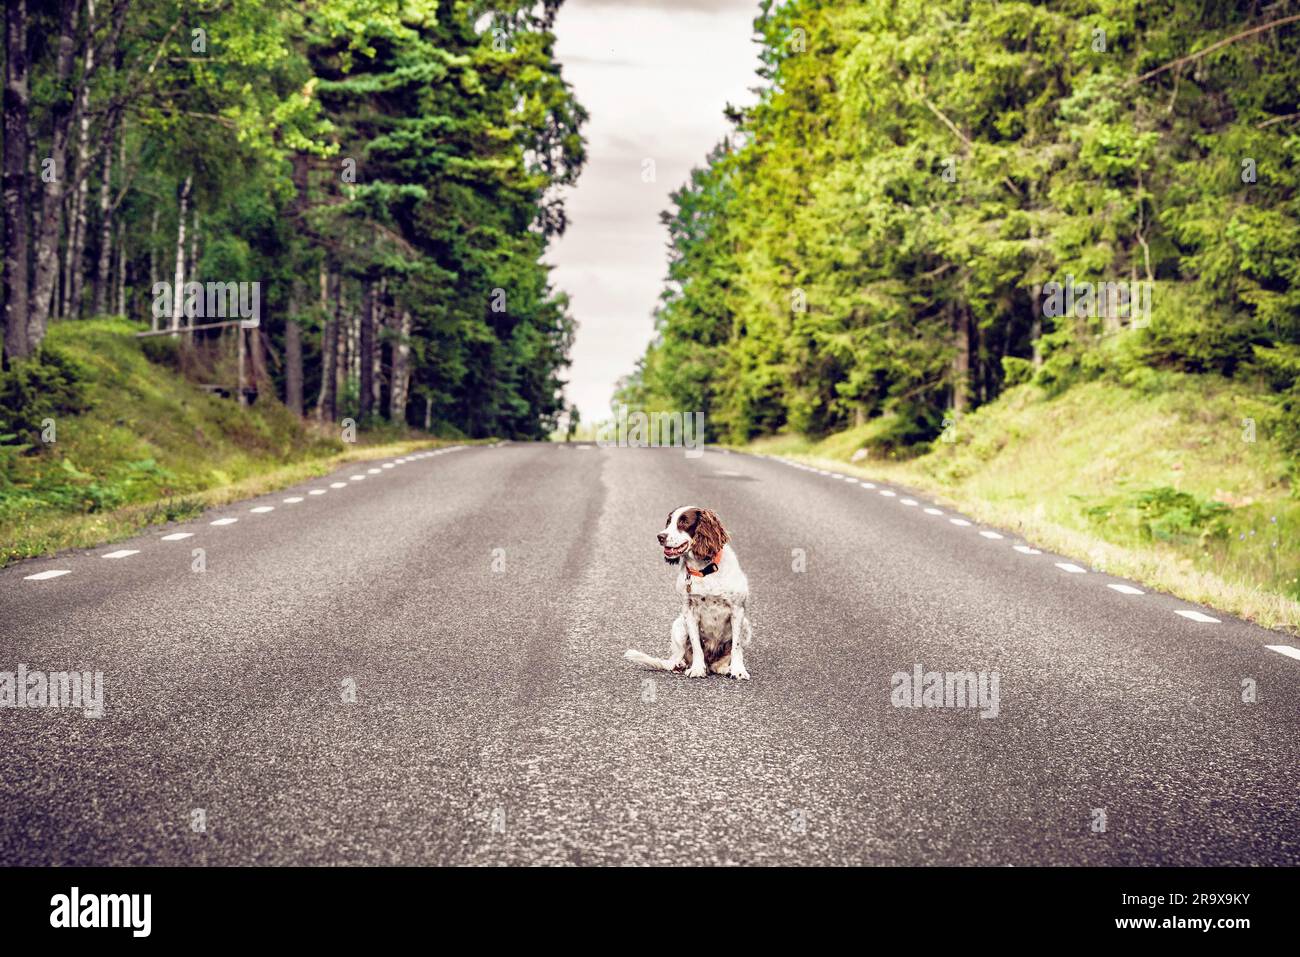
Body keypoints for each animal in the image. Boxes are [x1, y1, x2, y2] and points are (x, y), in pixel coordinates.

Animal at [626, 501, 759, 681]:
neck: (704, 570)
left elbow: (736, 647)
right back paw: (680, 665)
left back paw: (725, 668)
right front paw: (697, 669)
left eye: (683, 522)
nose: (660, 536)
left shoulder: (737, 610)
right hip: (678, 626)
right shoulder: (689, 611)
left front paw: (738, 670)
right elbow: (696, 645)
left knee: (719, 663)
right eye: (668, 522)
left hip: (746, 626)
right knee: (678, 655)